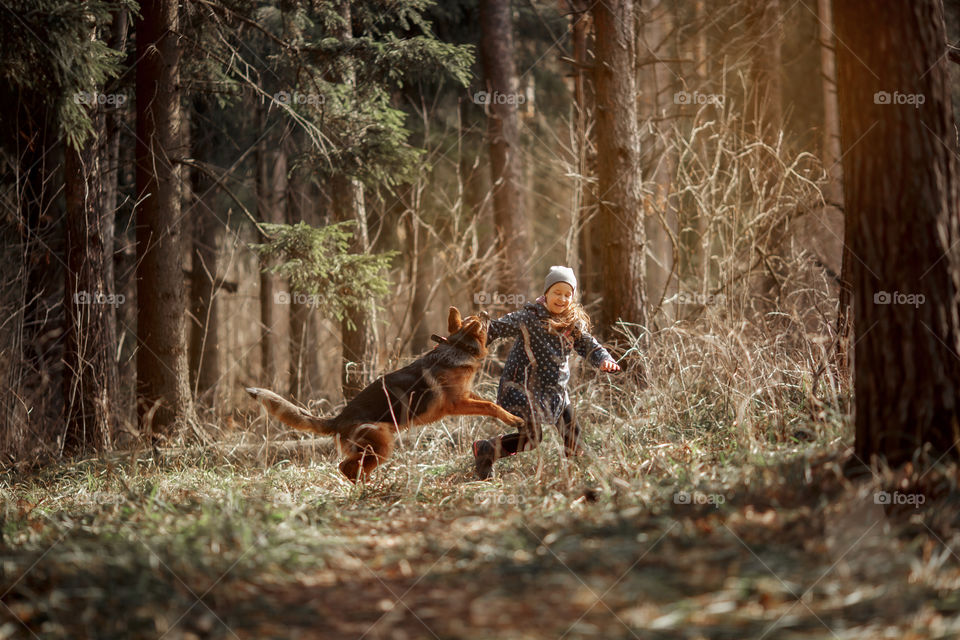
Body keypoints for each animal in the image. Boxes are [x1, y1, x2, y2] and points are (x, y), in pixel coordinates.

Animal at [244, 306, 520, 480]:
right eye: (481, 320)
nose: (486, 312)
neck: (458, 346)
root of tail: (338, 419)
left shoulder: (467, 395)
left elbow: (489, 402)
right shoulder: (457, 403)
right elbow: (489, 406)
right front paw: (514, 419)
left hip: (375, 448)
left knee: (352, 468)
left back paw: (368, 484)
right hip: (382, 445)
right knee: (346, 467)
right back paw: (367, 487)